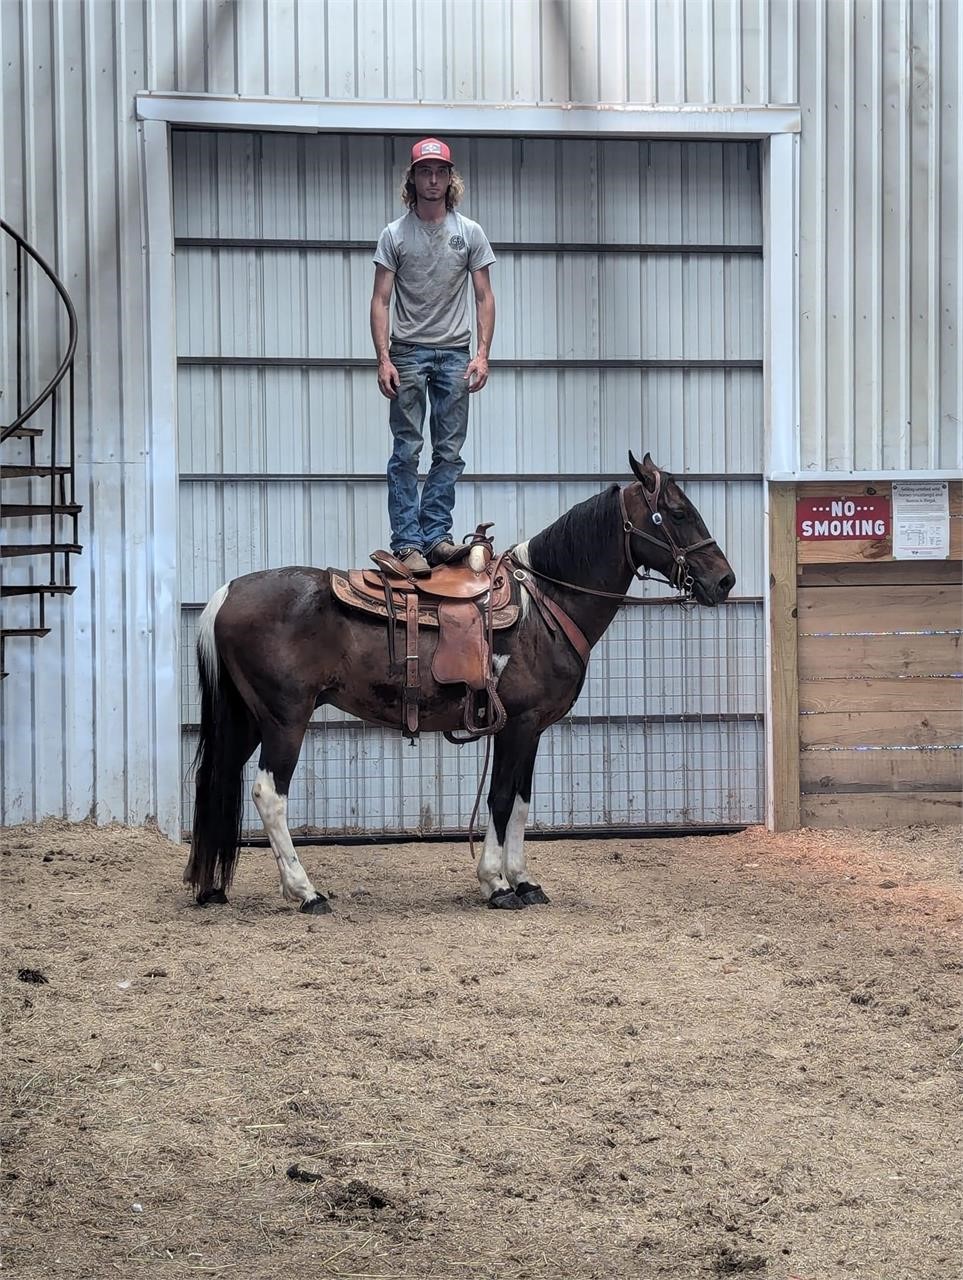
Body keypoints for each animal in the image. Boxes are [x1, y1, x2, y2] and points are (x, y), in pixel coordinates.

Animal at [184, 455, 732, 916]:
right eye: (677, 512)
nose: (724, 581)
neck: (546, 607)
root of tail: (227, 592)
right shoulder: (518, 725)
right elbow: (502, 798)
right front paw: (497, 884)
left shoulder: (532, 730)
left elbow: (522, 801)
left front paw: (524, 881)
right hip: (285, 719)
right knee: (268, 793)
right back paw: (306, 892)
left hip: (248, 719)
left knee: (220, 779)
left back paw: (212, 887)